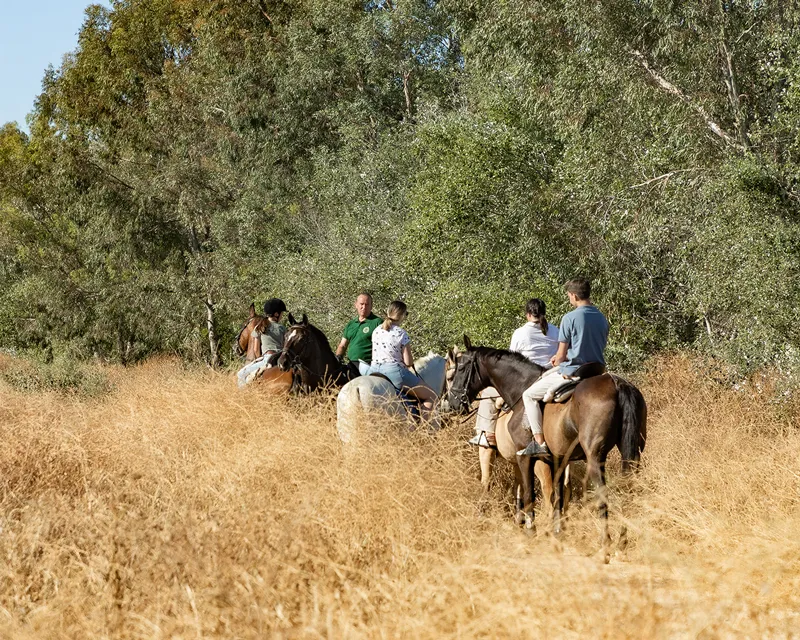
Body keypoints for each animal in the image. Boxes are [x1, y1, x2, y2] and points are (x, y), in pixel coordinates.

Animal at [446, 336, 648, 560]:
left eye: (460, 368)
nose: (452, 403)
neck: (520, 389)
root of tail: (617, 383)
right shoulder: (557, 459)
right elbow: (557, 496)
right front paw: (557, 533)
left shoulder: (523, 456)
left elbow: (527, 493)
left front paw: (530, 532)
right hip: (632, 454)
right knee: (627, 489)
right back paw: (622, 541)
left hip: (595, 457)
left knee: (601, 494)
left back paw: (605, 545)